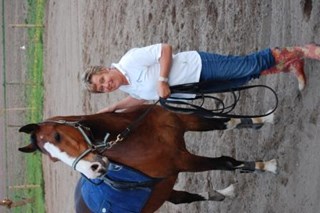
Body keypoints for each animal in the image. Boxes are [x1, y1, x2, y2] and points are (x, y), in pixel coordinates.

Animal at [18, 104, 276, 211]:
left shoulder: (184, 121)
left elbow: (228, 122)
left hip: (162, 189)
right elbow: (226, 162)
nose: (94, 169)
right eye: (53, 159)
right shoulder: (183, 161)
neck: (133, 136)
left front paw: (263, 119)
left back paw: (222, 193)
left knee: (184, 198)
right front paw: (267, 166)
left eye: (58, 136)